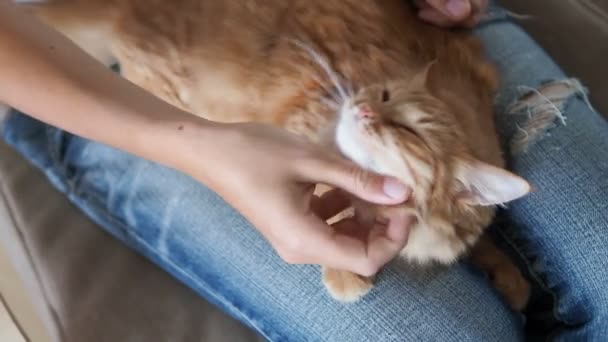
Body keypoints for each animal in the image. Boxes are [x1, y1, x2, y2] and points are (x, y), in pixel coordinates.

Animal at [27, 0, 532, 310]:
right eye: (385, 95)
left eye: (409, 128)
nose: (363, 107)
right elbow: (328, 198)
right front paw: (344, 273)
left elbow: (481, 241)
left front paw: (511, 277)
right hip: (167, 87)